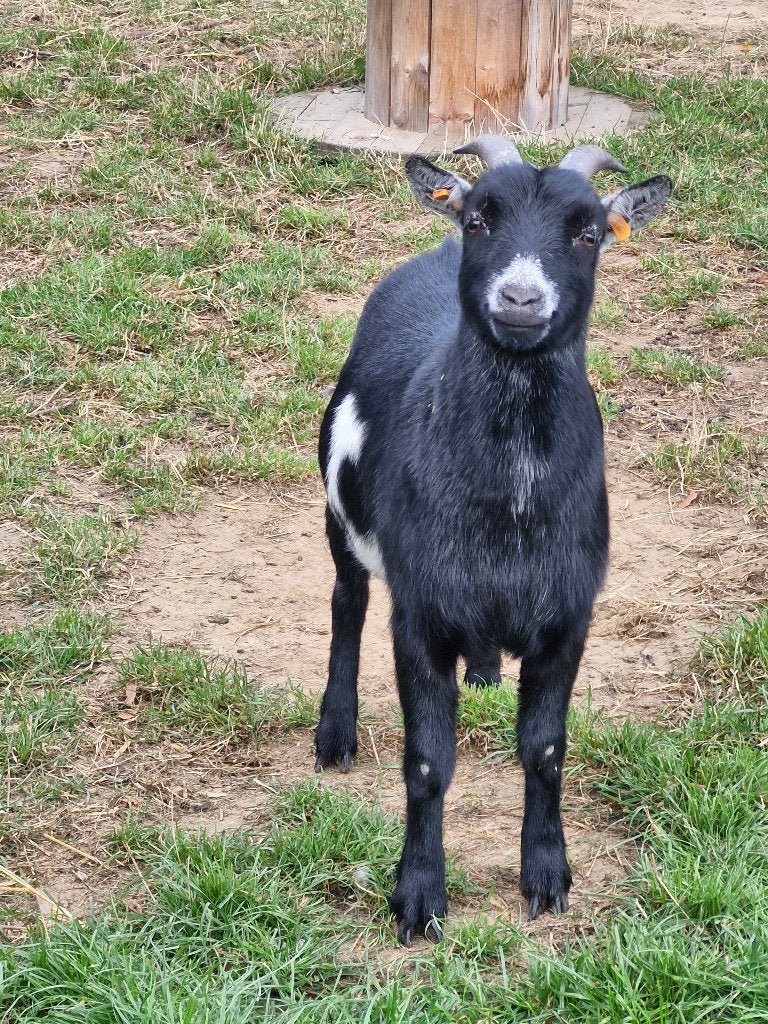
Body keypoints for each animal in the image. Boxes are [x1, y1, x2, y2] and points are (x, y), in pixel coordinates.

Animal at [314, 135, 671, 944]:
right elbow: (426, 762)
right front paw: (418, 896)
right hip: (338, 513)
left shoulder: (568, 616)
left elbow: (544, 749)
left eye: (590, 232)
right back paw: (335, 731)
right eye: (480, 219)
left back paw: (481, 673)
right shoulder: (419, 615)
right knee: (347, 600)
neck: (508, 506)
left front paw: (546, 876)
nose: (519, 300)